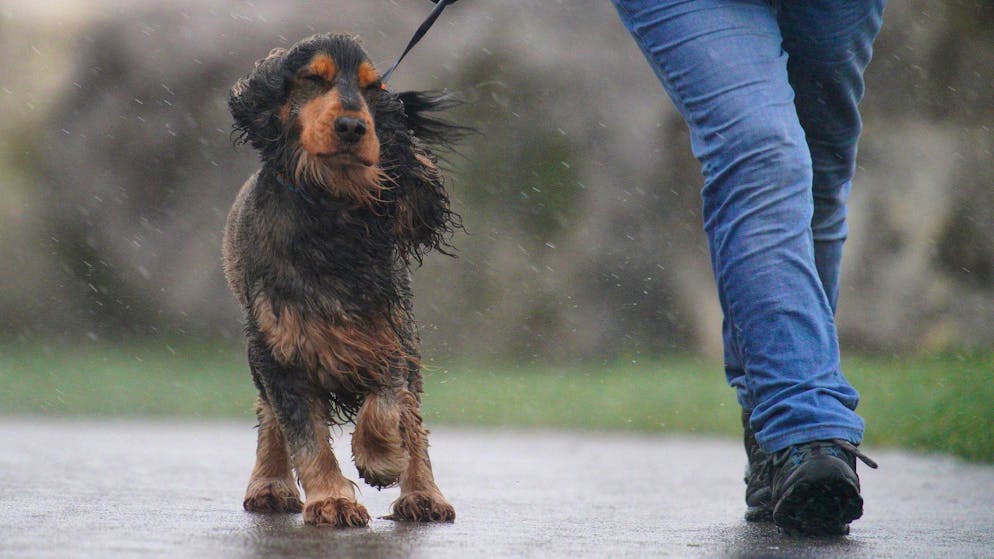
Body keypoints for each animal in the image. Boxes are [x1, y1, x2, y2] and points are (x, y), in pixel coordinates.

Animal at [223, 35, 464, 528]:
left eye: (373, 88)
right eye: (314, 78)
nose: (353, 126)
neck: (330, 207)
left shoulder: (386, 334)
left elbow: (389, 404)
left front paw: (380, 459)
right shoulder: (279, 349)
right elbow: (304, 434)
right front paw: (332, 500)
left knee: (413, 418)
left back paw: (423, 494)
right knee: (270, 416)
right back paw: (269, 485)